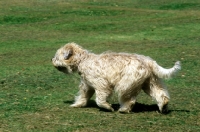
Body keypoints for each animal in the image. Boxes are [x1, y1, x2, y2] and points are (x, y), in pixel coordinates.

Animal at [51, 42, 181, 113]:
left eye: (56, 56)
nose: (51, 59)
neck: (83, 60)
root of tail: (148, 61)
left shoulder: (101, 85)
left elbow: (100, 99)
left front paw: (107, 107)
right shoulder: (87, 86)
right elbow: (83, 96)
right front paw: (77, 104)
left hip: (125, 85)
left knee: (129, 100)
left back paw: (123, 109)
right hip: (150, 83)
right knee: (161, 95)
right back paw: (163, 106)